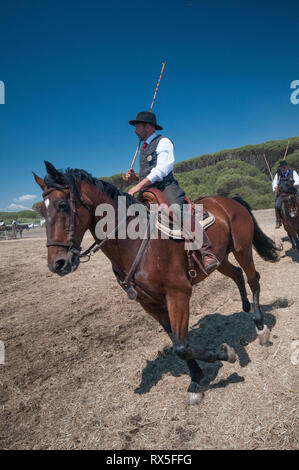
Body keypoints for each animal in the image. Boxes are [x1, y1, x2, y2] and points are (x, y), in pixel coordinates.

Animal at [34, 162, 280, 404]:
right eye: (42, 211)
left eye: (62, 205)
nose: (57, 264)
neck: (135, 242)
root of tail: (230, 201)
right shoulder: (150, 304)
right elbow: (177, 343)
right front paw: (197, 380)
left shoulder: (178, 295)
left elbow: (181, 346)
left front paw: (224, 354)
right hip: (221, 260)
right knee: (237, 275)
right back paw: (246, 308)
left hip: (242, 250)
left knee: (253, 279)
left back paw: (260, 327)